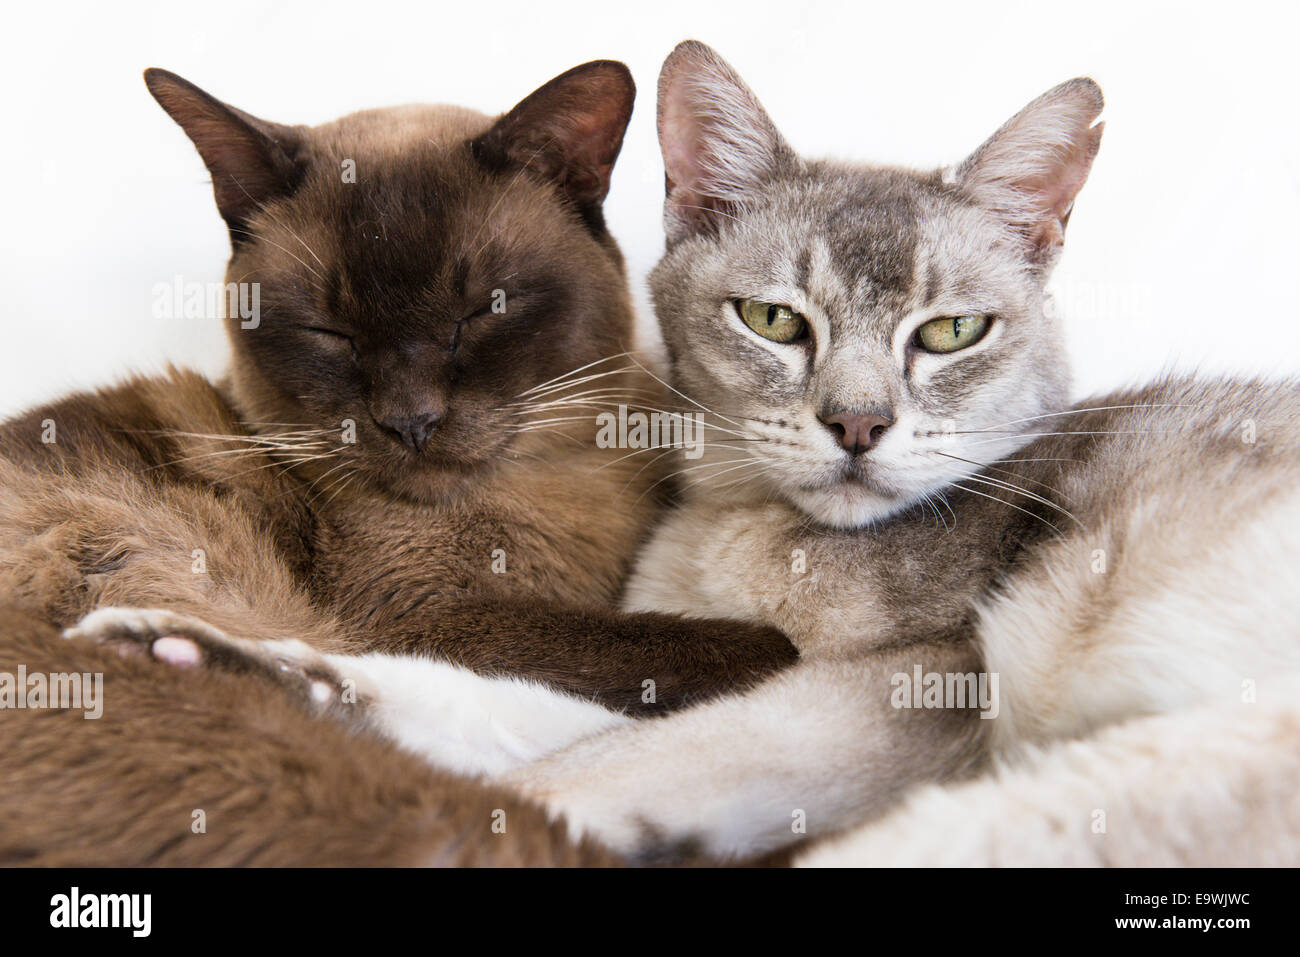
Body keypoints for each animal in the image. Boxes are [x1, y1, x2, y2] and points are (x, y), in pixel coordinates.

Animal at [0, 59, 790, 868]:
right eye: (329, 332)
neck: (558, 481)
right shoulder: (428, 619)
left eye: (481, 312)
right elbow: (723, 647)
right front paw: (782, 652)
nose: (411, 420)